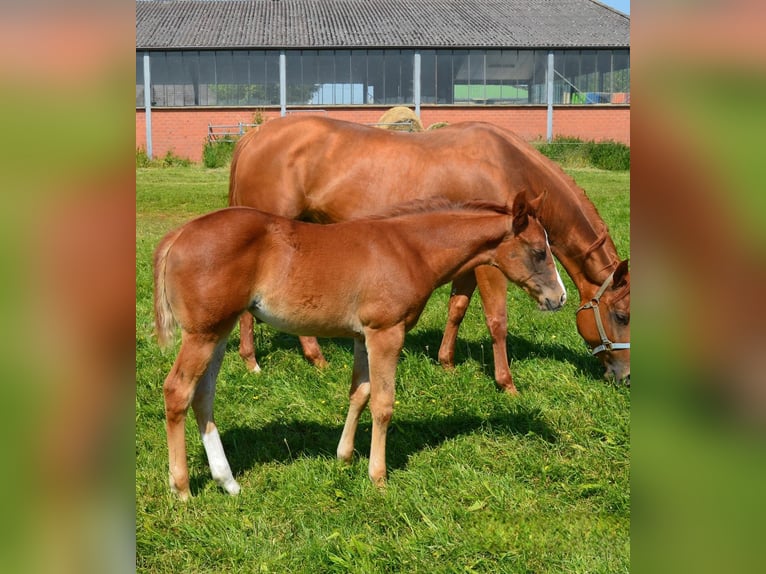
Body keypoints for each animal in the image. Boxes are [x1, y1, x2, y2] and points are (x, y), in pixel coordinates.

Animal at [154, 196, 564, 498]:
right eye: (538, 251)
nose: (559, 298)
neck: (410, 250)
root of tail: (178, 235)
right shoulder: (386, 333)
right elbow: (383, 403)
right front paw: (378, 477)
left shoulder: (362, 337)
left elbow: (359, 393)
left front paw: (344, 457)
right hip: (203, 334)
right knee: (178, 391)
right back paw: (182, 489)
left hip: (218, 332)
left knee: (203, 395)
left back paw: (229, 482)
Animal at [230, 116, 632, 392]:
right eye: (623, 316)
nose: (626, 376)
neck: (504, 164)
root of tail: (253, 136)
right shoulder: (492, 266)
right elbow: (497, 321)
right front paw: (507, 384)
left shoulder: (469, 260)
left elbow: (457, 309)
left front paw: (447, 363)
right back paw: (258, 362)